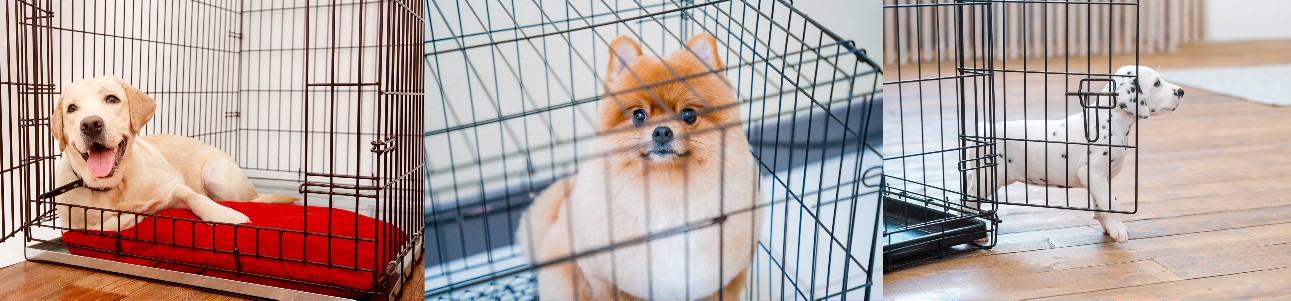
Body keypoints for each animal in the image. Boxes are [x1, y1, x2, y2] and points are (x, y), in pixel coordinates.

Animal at [51, 76, 295, 231]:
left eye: (112, 99)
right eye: (71, 108)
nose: (91, 124)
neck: (114, 187)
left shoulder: (173, 187)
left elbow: (195, 197)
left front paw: (223, 215)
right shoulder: (71, 226)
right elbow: (100, 226)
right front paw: (132, 216)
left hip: (218, 177)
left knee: (254, 200)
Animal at [516, 32, 764, 298]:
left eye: (688, 115)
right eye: (639, 116)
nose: (662, 131)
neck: (668, 195)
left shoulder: (726, 277)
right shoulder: (608, 279)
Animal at [965, 65, 1182, 241]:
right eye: (1156, 83)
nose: (1181, 91)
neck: (1110, 119)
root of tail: (984, 128)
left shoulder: (1101, 179)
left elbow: (1099, 203)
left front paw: (1106, 225)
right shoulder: (1093, 173)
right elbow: (1111, 202)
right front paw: (1117, 229)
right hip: (988, 178)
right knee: (968, 200)